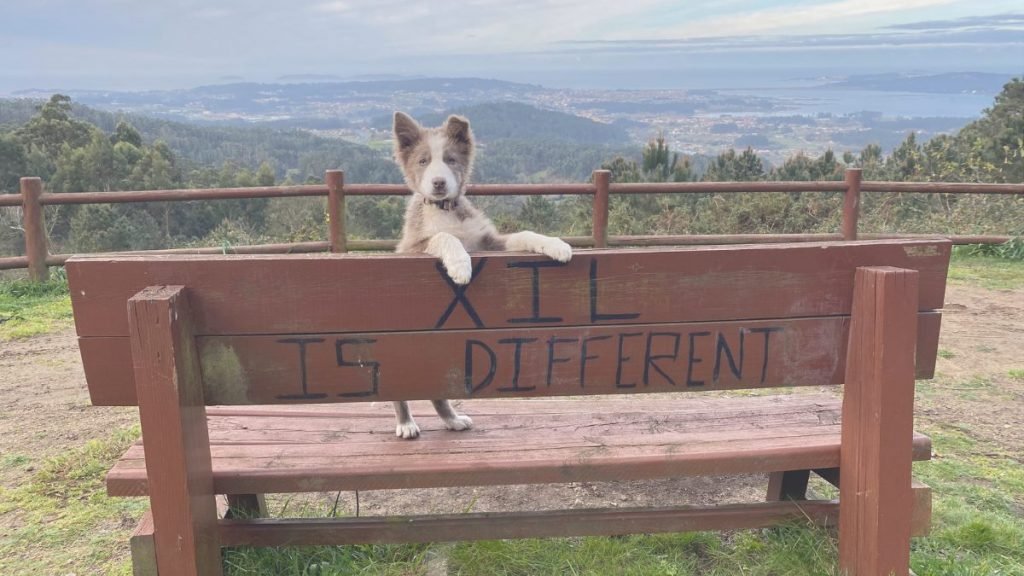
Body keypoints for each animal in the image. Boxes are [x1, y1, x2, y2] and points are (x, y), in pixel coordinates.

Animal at [389, 111, 573, 434]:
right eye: (423, 161)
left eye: (450, 159)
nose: (438, 183)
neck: (445, 209)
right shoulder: (412, 248)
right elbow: (443, 237)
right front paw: (460, 265)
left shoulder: (490, 244)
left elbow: (524, 234)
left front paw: (555, 245)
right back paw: (406, 423)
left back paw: (452, 419)